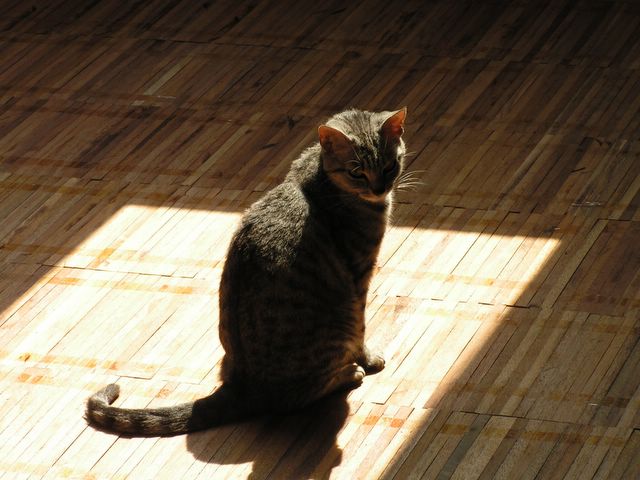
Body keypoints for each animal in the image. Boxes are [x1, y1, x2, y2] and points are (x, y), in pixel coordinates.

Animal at [86, 107, 408, 436]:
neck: (320, 175)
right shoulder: (359, 276)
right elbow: (362, 332)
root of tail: (244, 386)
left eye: (390, 166)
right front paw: (369, 360)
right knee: (296, 397)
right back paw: (349, 374)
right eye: (357, 172)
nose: (380, 189)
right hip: (339, 319)